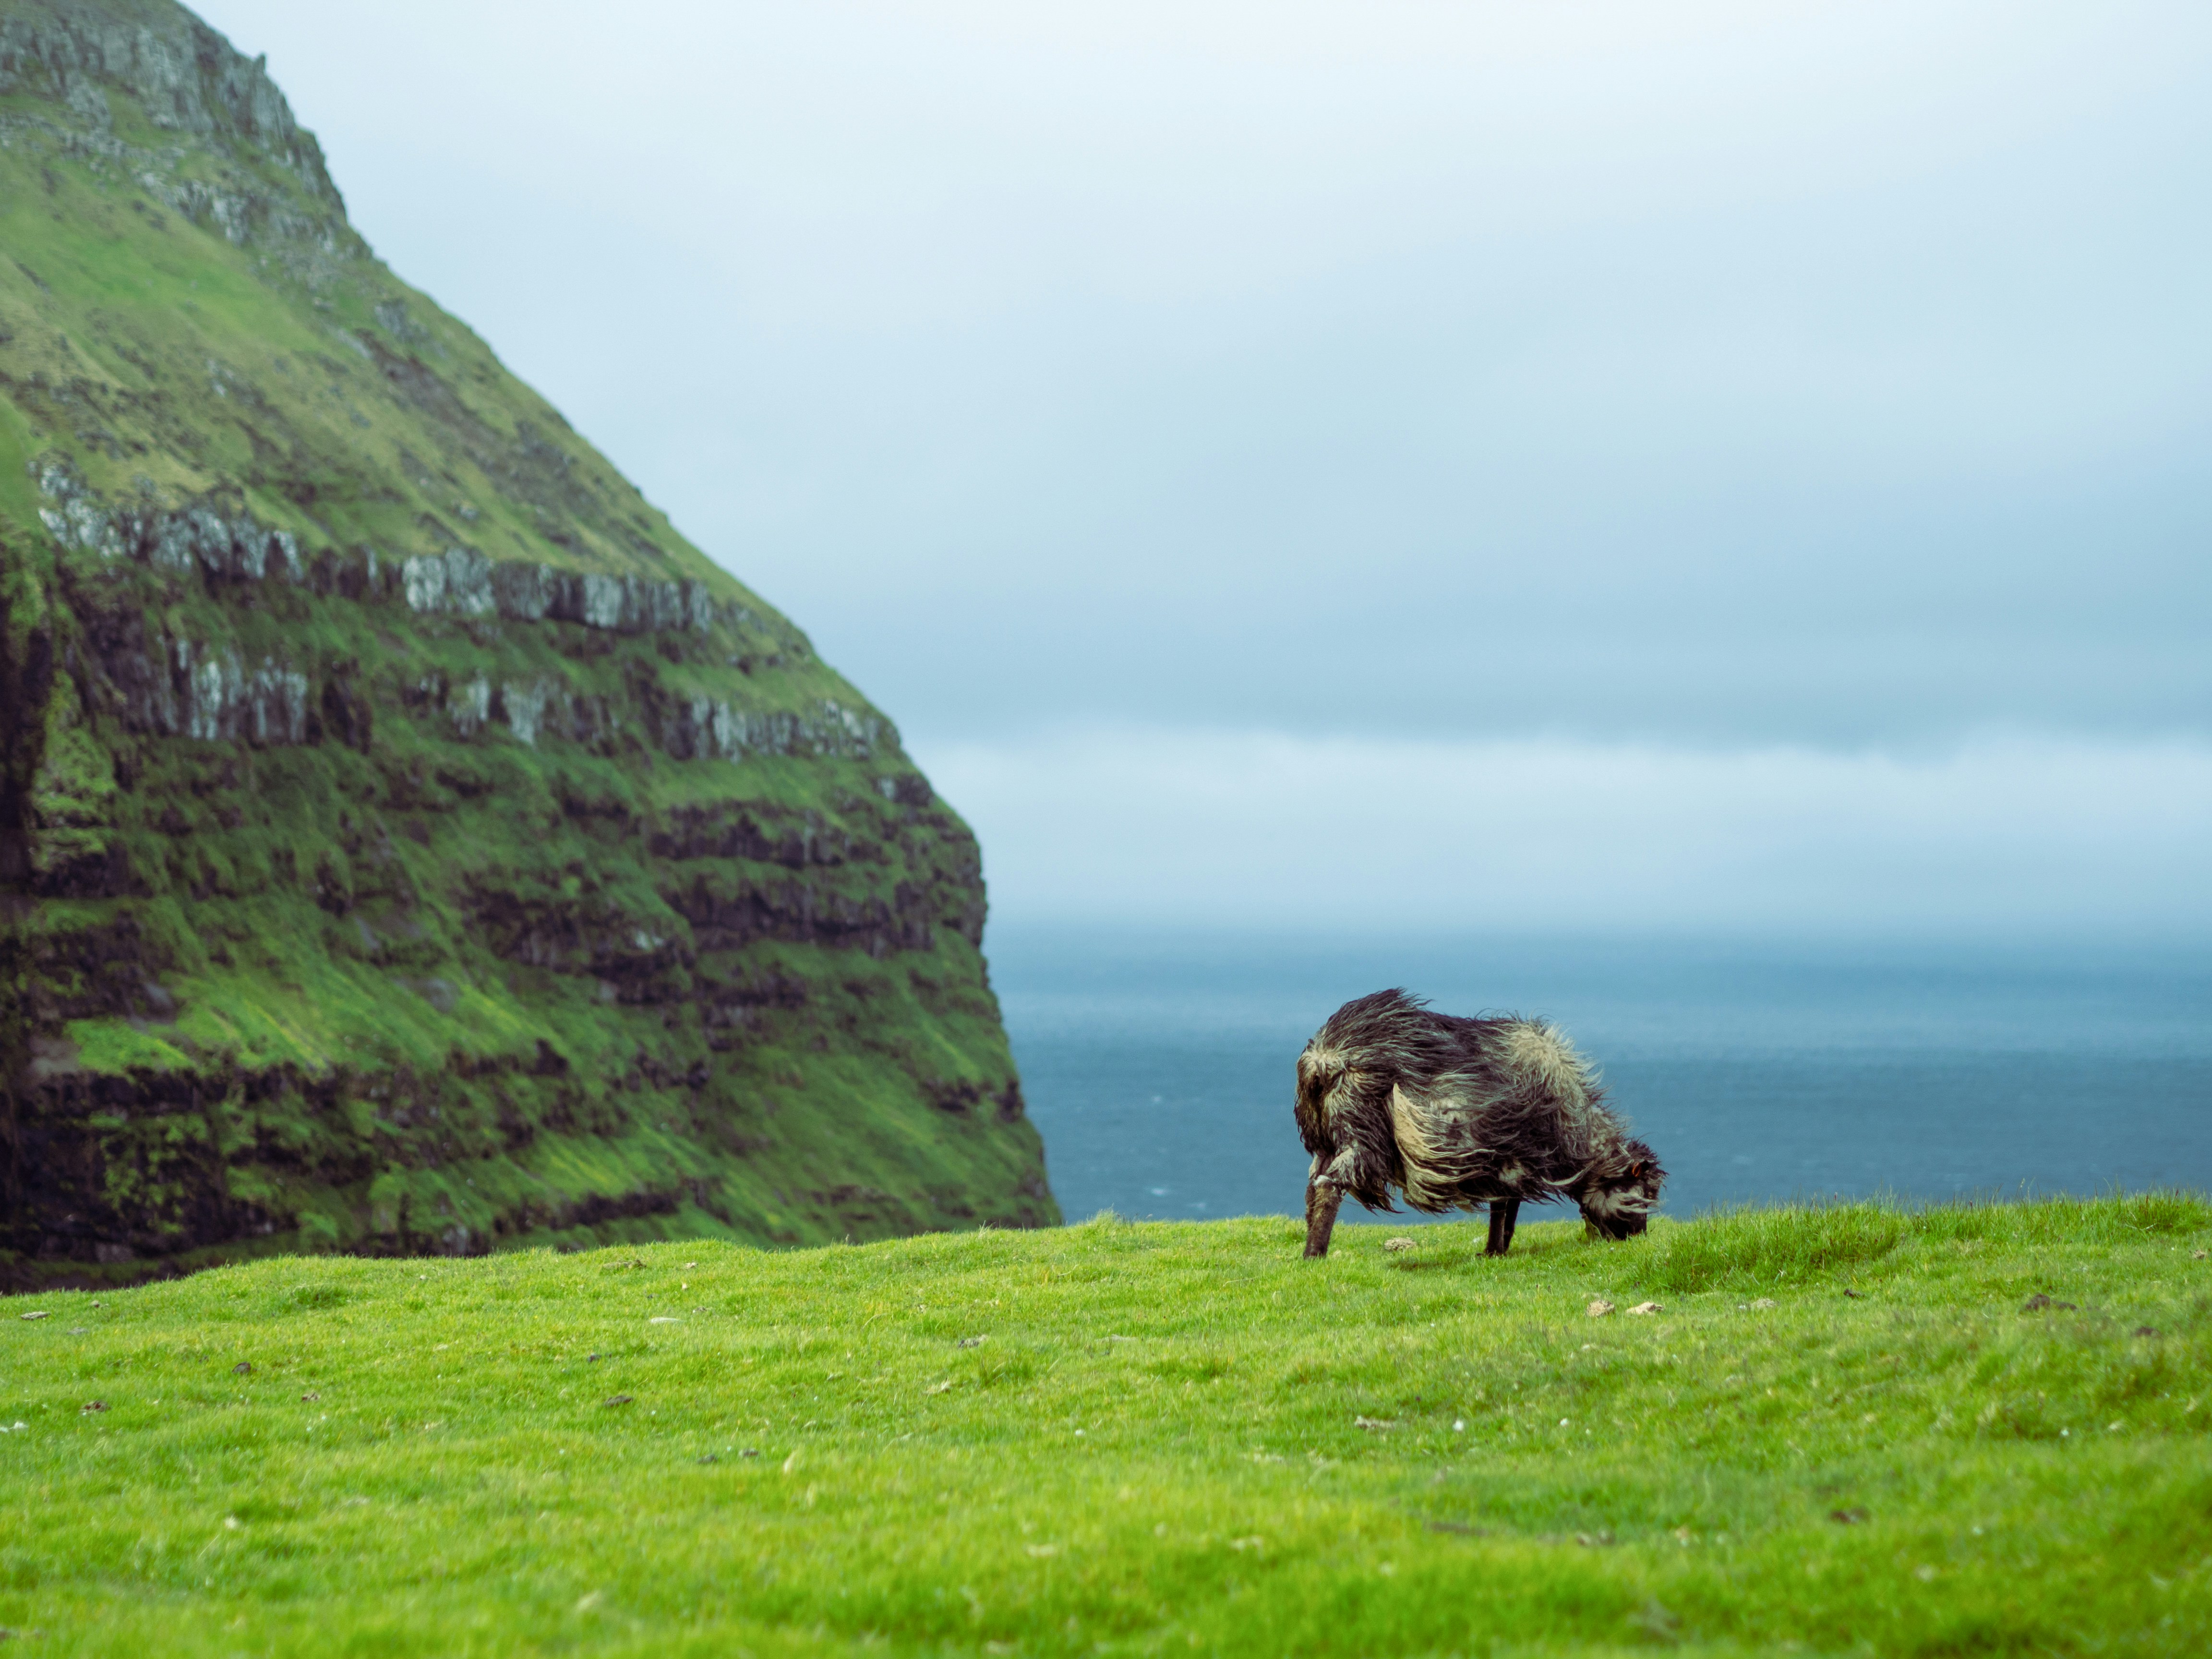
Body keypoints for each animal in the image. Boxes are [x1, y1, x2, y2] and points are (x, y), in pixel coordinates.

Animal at [1294, 988, 1663, 1259]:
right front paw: (1495, 1251)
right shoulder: (1511, 1158)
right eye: (1641, 1194)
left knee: (1314, 1184)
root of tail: (1323, 1060)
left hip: (1323, 1134)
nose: (1636, 1241)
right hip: (1363, 1132)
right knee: (1329, 1185)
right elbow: (1504, 1209)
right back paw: (1316, 1254)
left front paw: (1496, 1250)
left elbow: (1506, 1206)